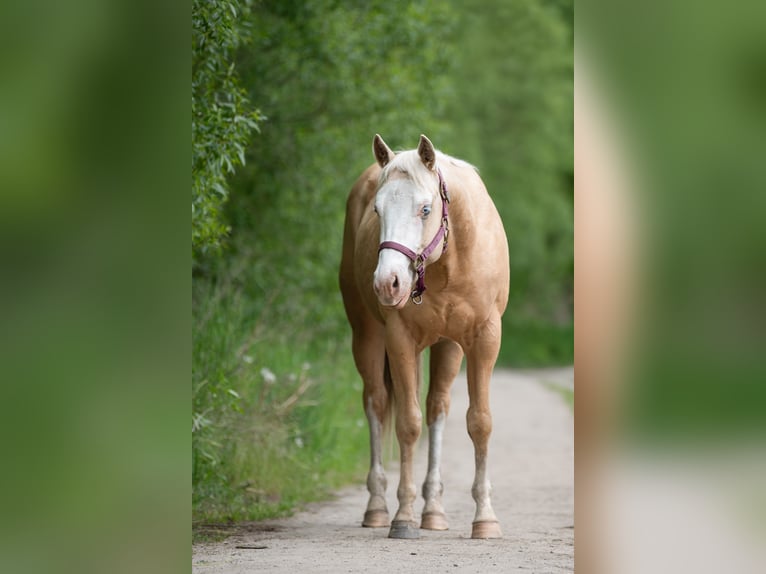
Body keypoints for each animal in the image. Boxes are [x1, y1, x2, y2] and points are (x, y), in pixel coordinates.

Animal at [339, 134, 510, 539]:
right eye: (377, 210)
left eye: (426, 209)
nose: (388, 283)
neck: (449, 263)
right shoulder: (400, 339)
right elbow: (408, 424)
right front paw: (403, 518)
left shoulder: (483, 340)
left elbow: (479, 422)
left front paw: (485, 518)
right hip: (366, 336)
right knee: (377, 404)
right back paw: (378, 507)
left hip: (447, 347)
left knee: (437, 408)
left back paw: (434, 511)